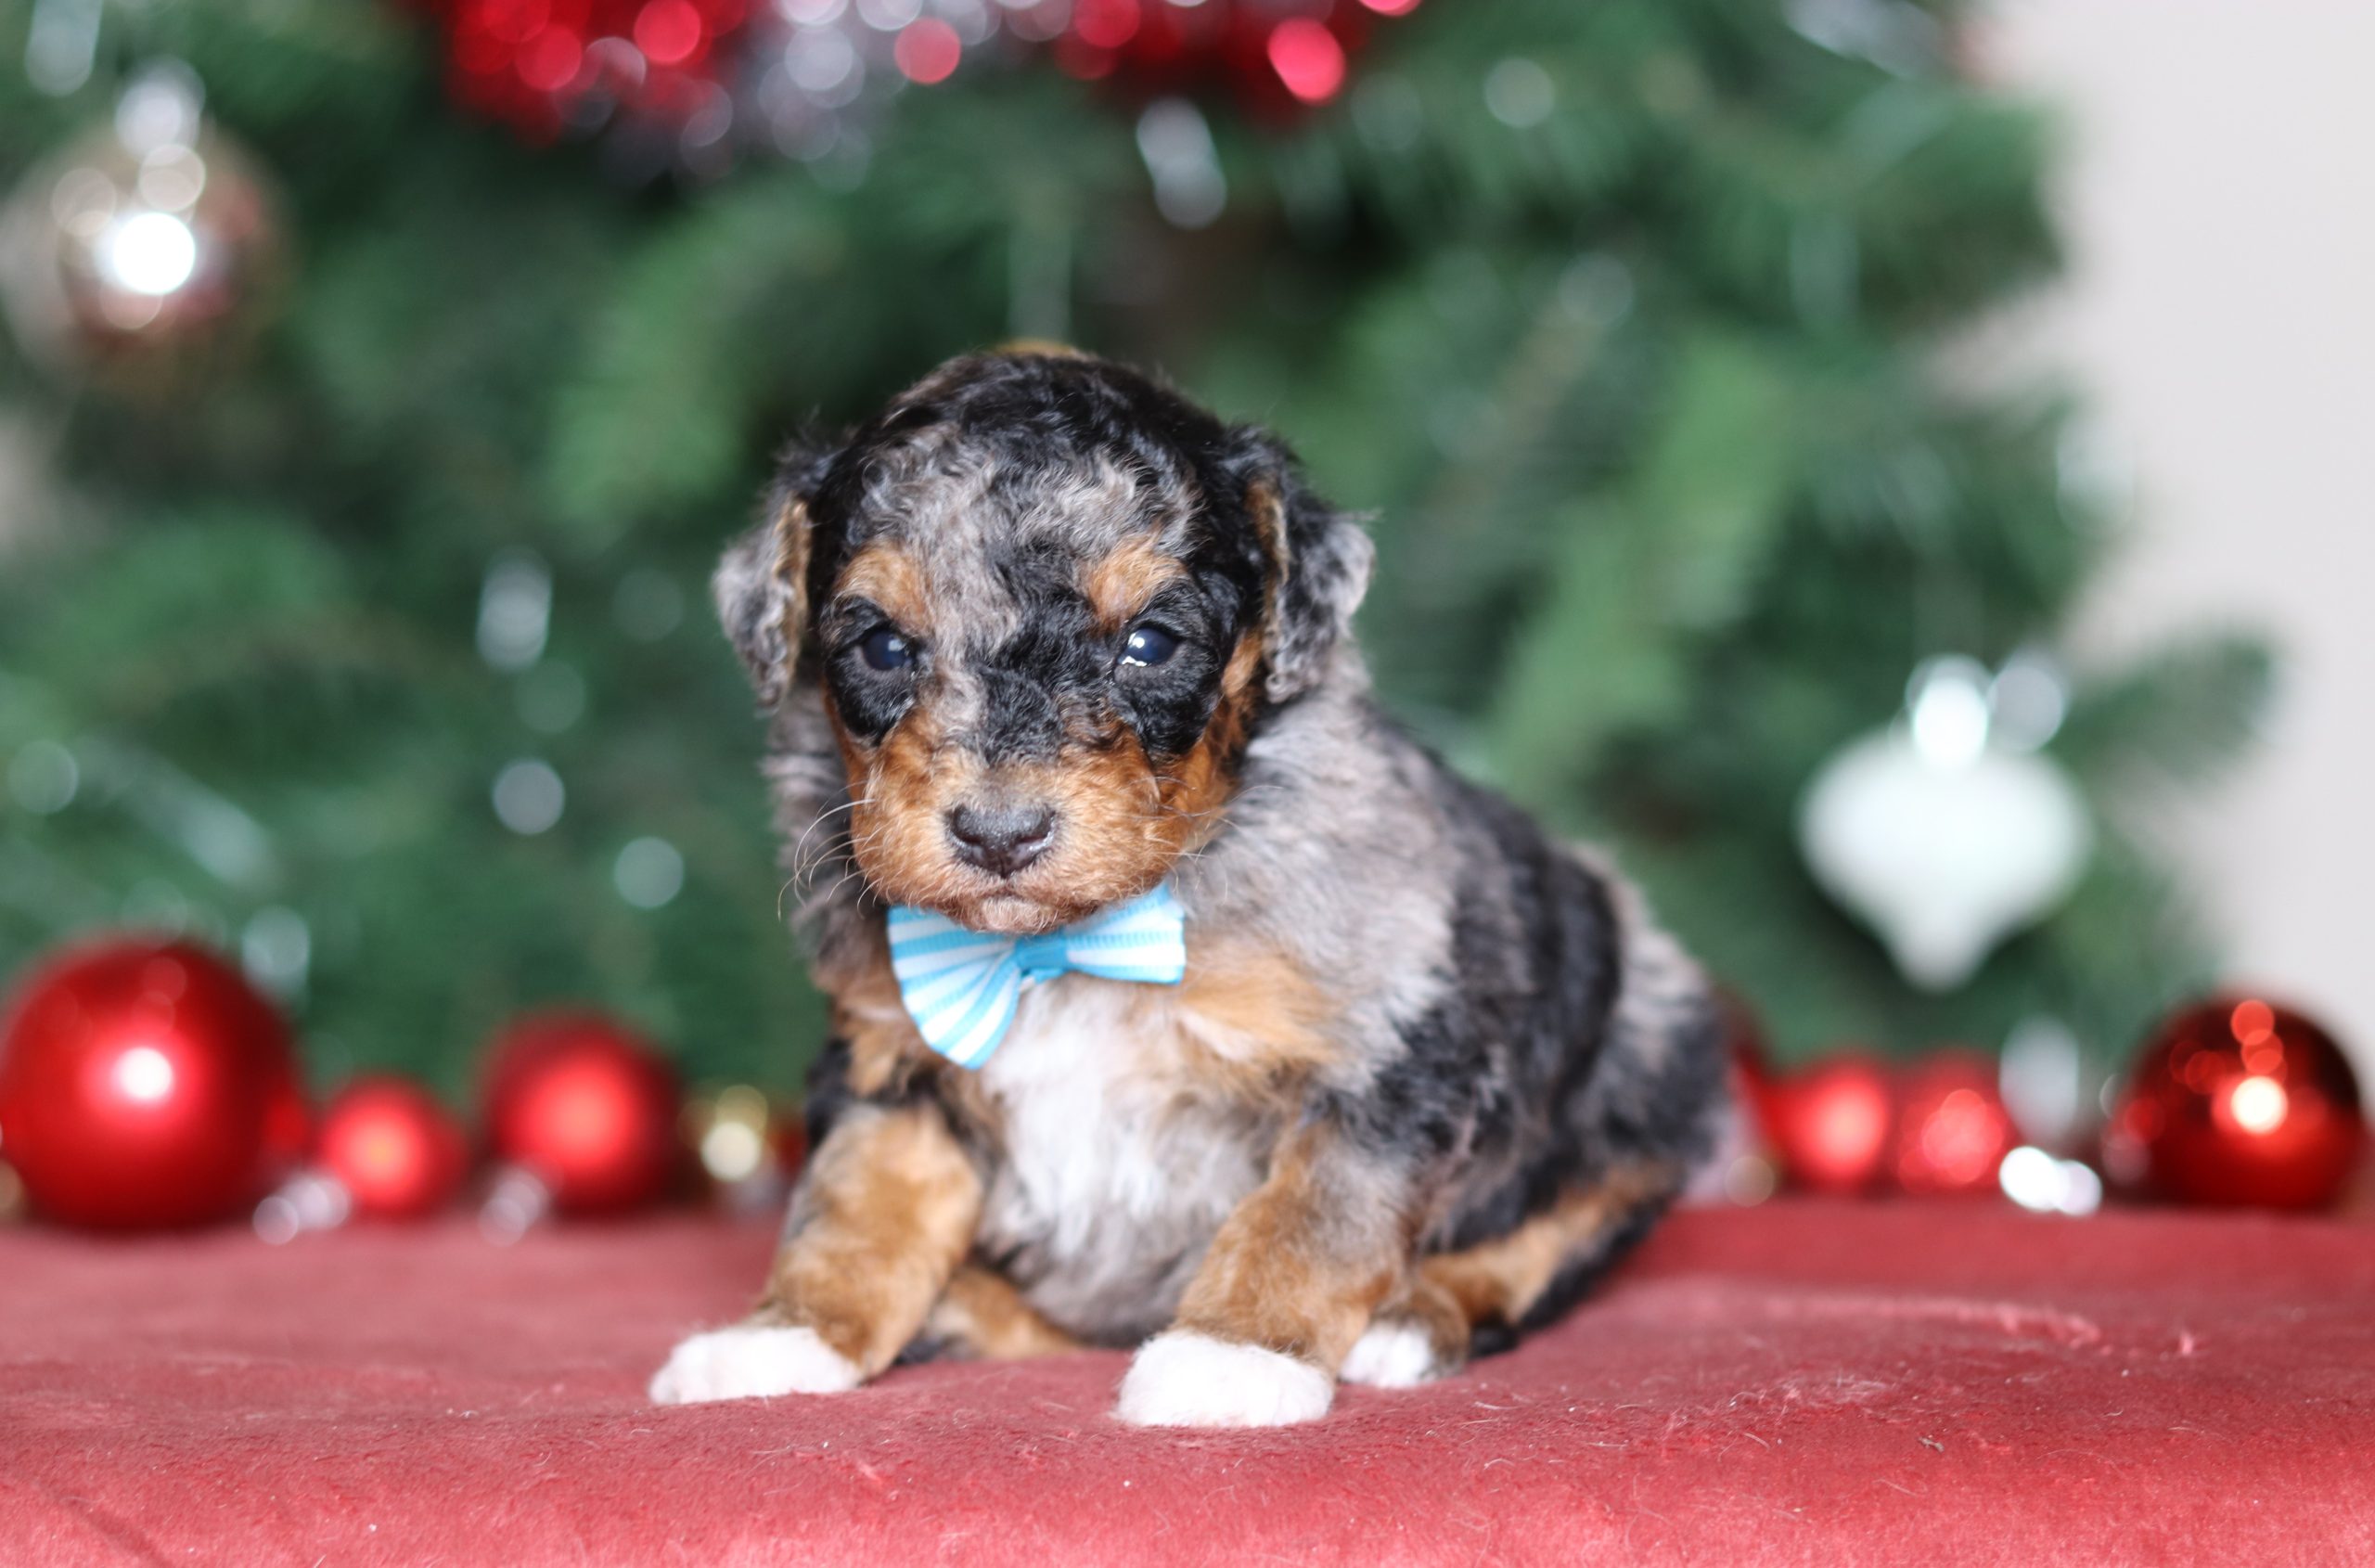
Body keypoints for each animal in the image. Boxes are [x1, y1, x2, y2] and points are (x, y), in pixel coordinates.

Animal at [649, 349, 1725, 1428]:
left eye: (1151, 644)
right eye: (880, 647)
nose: (1000, 834)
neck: (1067, 946)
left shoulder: (1387, 1044)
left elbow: (1312, 1214)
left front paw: (1233, 1355)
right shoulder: (895, 1063)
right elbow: (854, 1206)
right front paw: (784, 1333)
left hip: (1644, 1058)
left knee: (1546, 1235)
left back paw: (1411, 1319)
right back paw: (965, 1310)